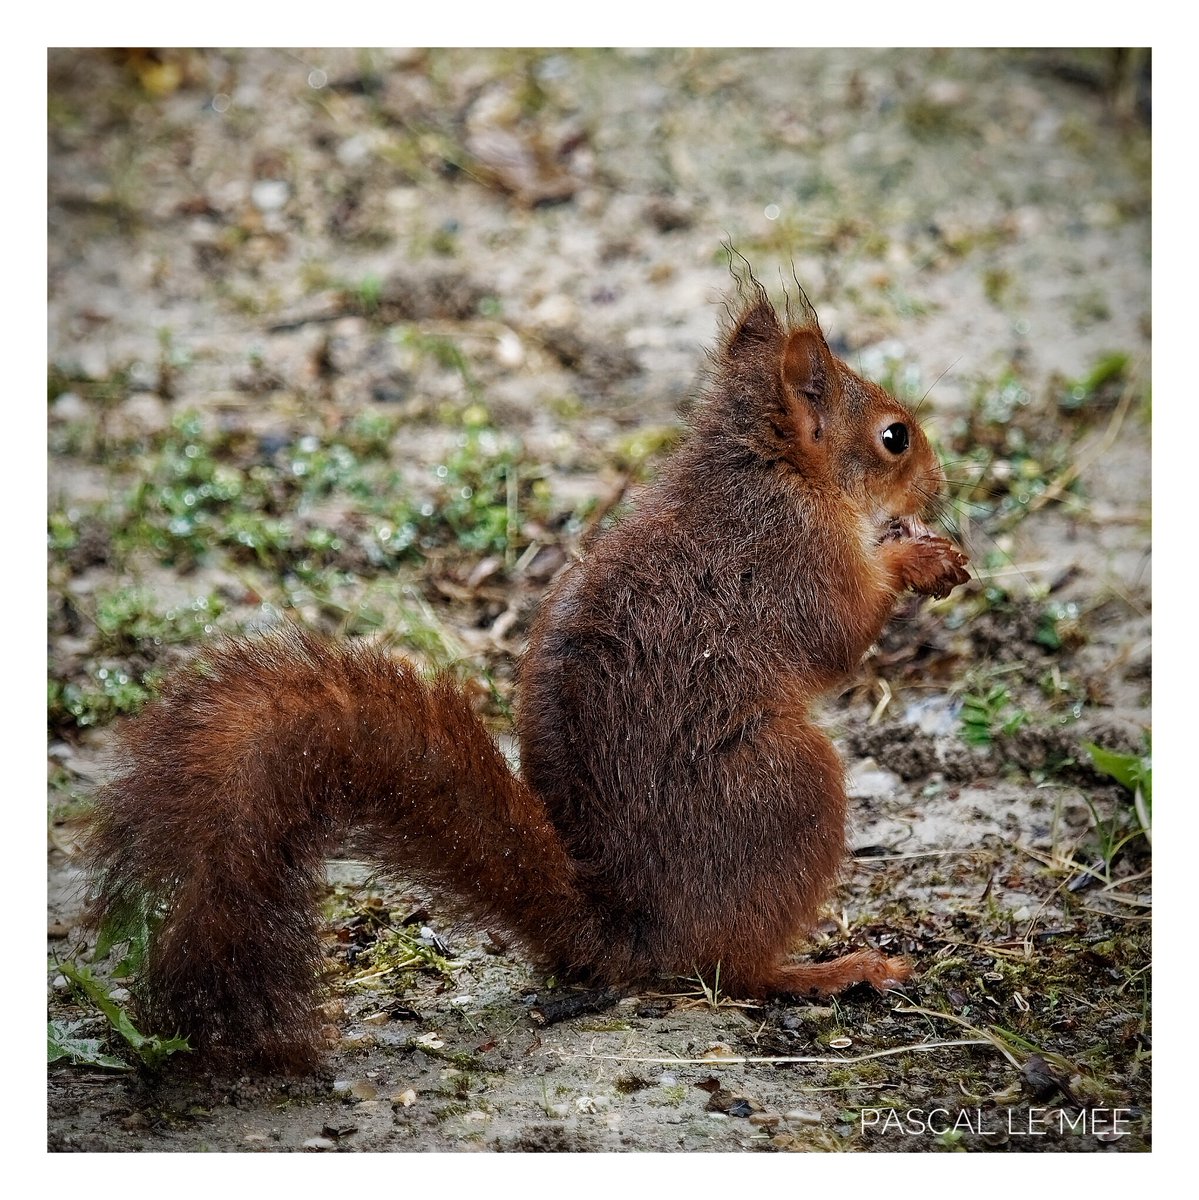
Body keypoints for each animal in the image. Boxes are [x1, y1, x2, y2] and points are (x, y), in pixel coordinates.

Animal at [86, 273, 970, 1072]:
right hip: (789, 788)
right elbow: (839, 633)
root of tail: (632, 933)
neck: (771, 474)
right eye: (894, 437)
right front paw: (917, 558)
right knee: (731, 970)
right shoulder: (793, 560)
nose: (939, 484)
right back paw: (829, 970)